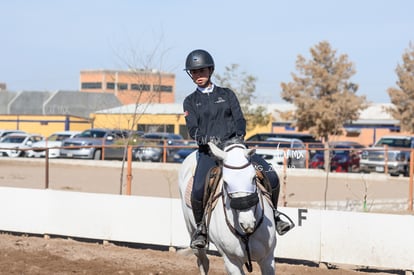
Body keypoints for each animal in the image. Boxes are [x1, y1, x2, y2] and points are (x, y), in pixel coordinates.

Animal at [179, 141, 278, 274]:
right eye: (225, 182)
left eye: (254, 178)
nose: (247, 223)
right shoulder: (232, 263)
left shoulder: (267, 259)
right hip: (193, 234)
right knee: (203, 262)